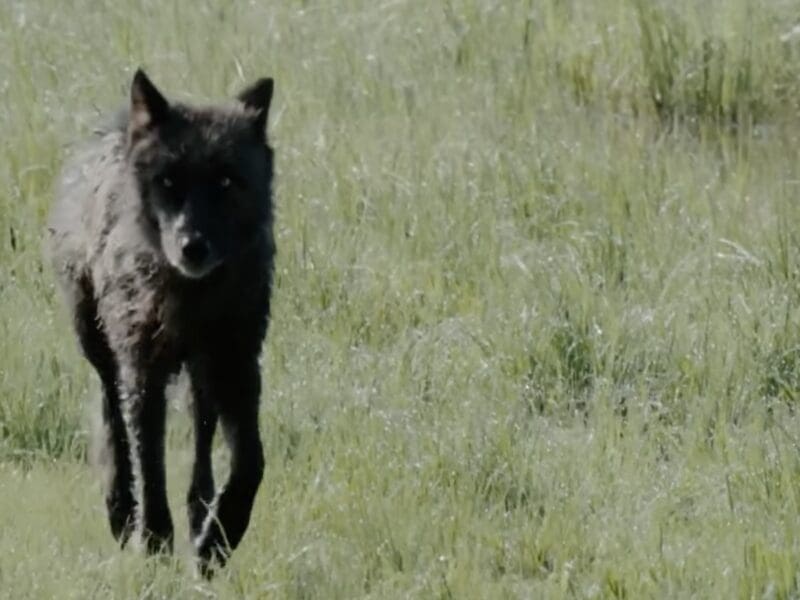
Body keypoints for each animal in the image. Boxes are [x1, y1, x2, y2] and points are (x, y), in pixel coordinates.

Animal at [47, 69, 276, 572]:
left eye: (227, 181)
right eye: (169, 181)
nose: (193, 246)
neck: (193, 296)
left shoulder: (237, 364)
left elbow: (250, 464)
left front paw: (218, 540)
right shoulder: (142, 368)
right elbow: (148, 462)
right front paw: (152, 542)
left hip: (201, 376)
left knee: (202, 442)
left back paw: (198, 515)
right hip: (101, 348)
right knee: (113, 420)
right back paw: (121, 511)